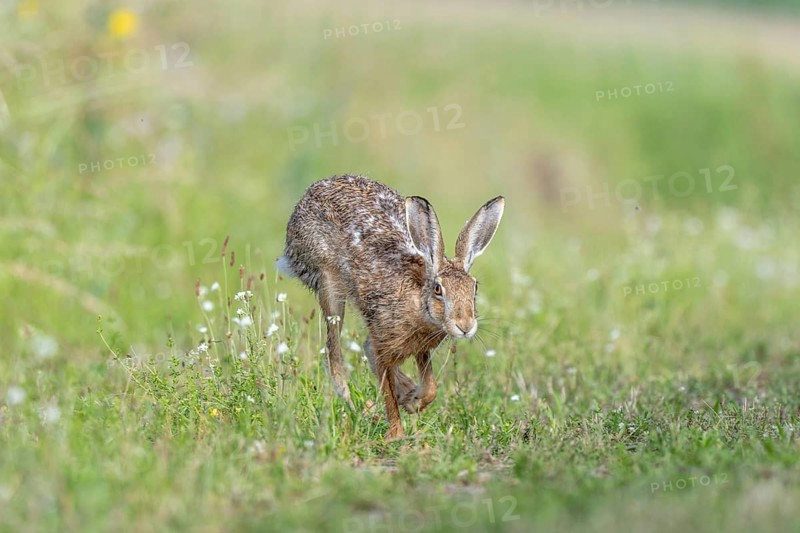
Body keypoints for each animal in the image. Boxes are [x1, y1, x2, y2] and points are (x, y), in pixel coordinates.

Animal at [277, 175, 504, 439]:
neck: (419, 302)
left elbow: (430, 386)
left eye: (474, 288)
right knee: (333, 359)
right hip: (329, 287)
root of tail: (308, 195)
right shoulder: (383, 343)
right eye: (438, 289)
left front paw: (413, 401)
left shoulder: (421, 348)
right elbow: (388, 394)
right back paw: (363, 411)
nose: (465, 326)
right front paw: (396, 434)